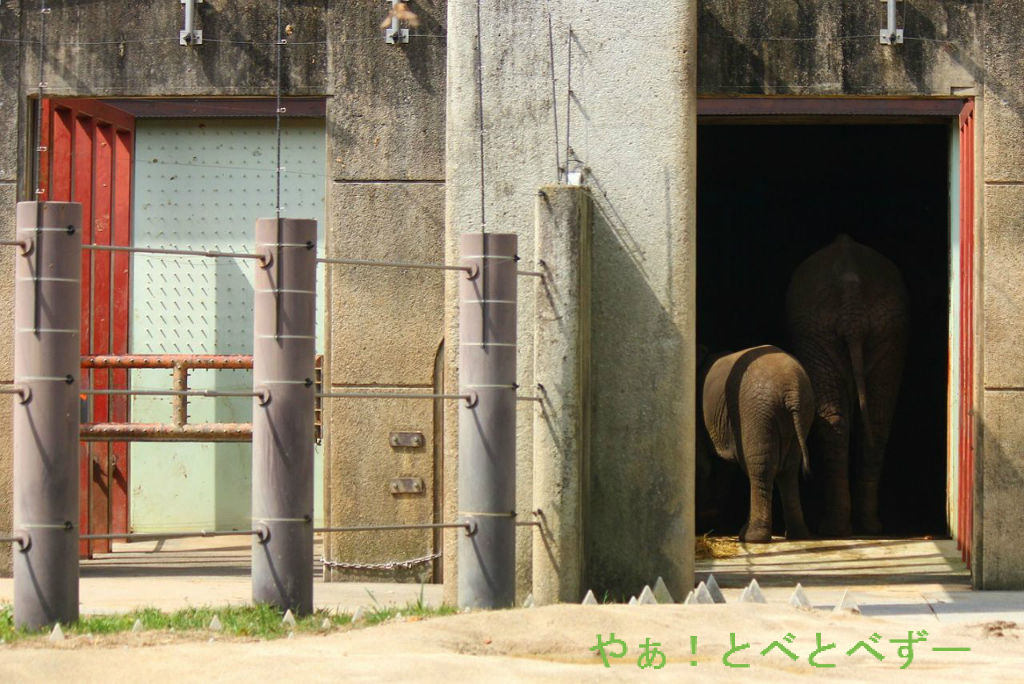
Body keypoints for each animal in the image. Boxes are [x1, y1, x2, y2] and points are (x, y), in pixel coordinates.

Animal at [699, 345, 815, 543]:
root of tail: (792, 390)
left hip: (756, 412)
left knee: (760, 468)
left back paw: (752, 537)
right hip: (801, 412)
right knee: (789, 470)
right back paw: (798, 536)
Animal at [785, 234, 909, 537]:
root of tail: (851, 294)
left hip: (823, 328)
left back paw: (835, 529)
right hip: (885, 328)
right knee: (875, 418)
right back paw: (866, 527)